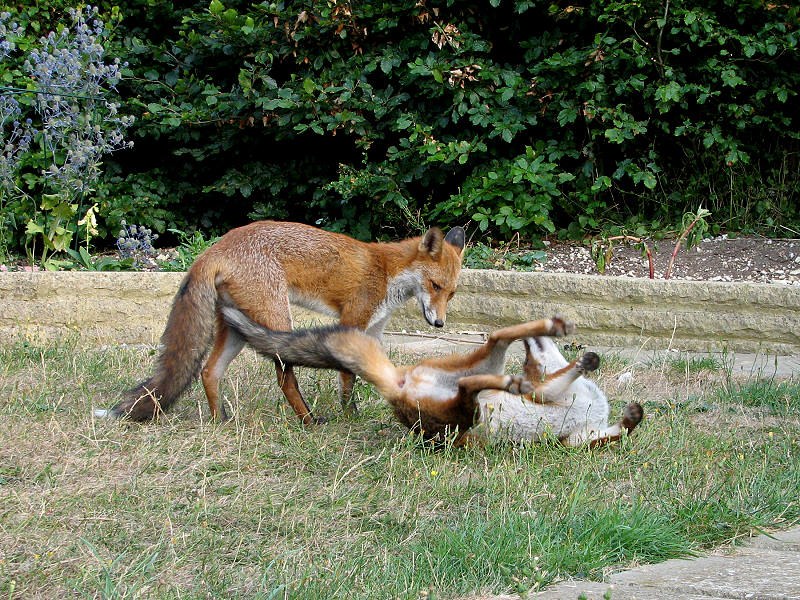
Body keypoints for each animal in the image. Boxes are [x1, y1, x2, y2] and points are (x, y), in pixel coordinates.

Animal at [97, 220, 466, 422]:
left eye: (451, 293)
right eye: (435, 286)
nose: (439, 325)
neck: (388, 273)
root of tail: (214, 248)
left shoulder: (374, 331)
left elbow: (374, 373)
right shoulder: (352, 321)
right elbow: (349, 378)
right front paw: (351, 416)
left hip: (237, 327)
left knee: (208, 371)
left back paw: (220, 421)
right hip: (276, 322)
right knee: (285, 379)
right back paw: (308, 421)